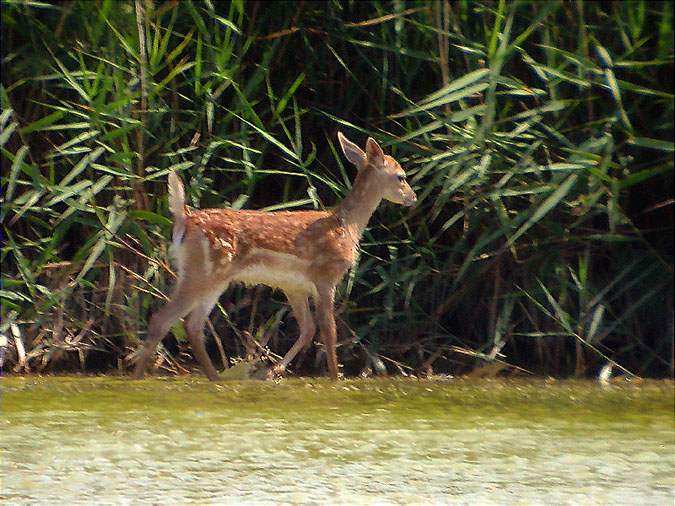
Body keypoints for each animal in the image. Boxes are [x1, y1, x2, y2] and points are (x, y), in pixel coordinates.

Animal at [132, 132, 418, 382]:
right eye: (401, 177)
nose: (413, 198)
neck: (346, 226)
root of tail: (184, 219)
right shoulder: (326, 276)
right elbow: (329, 330)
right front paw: (334, 378)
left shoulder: (294, 286)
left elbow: (308, 329)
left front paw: (272, 372)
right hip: (204, 272)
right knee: (163, 319)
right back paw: (137, 378)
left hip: (210, 277)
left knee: (192, 324)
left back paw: (215, 378)